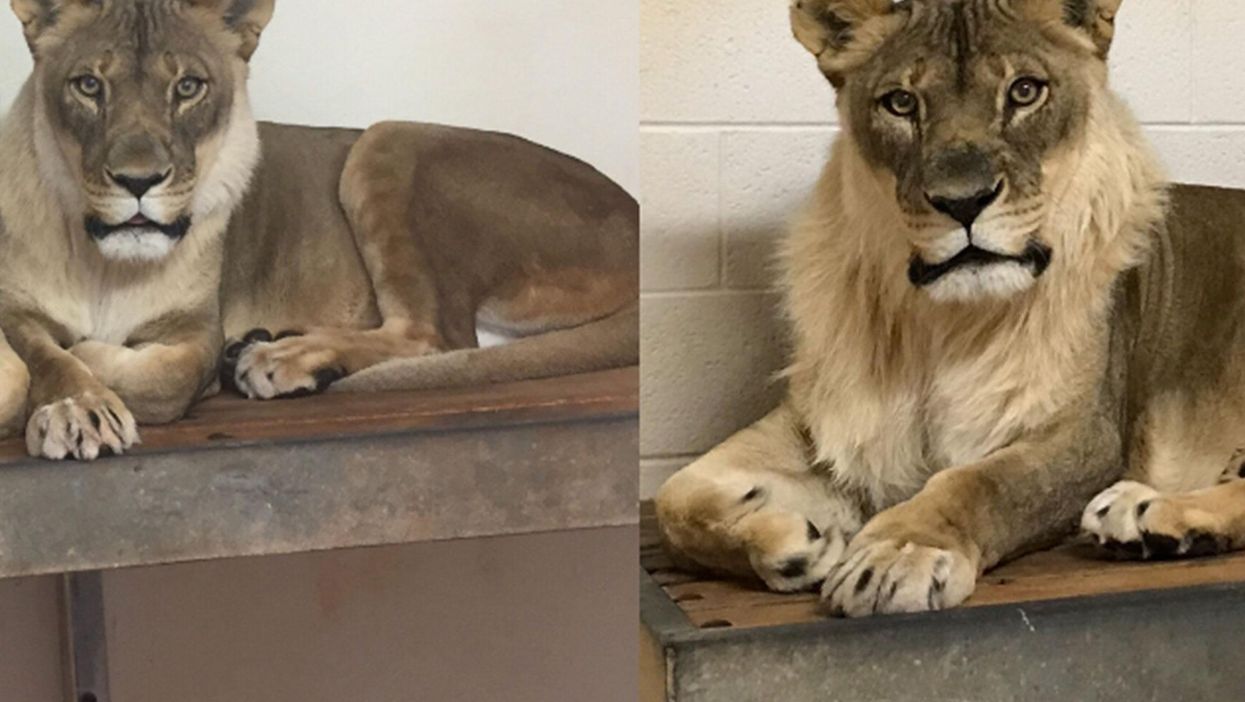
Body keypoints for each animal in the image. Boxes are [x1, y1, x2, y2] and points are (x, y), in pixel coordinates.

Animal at [0, 0, 637, 458]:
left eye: (187, 88)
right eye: (88, 85)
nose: (139, 181)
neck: (103, 262)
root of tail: (630, 205)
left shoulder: (197, 328)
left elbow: (162, 376)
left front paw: (88, 365)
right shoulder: (13, 306)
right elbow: (40, 354)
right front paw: (76, 404)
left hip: (387, 139)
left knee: (436, 335)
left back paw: (280, 359)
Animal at [657, 0, 1245, 618]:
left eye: (1025, 91)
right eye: (900, 102)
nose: (963, 203)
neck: (937, 325)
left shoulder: (1086, 437)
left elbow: (977, 485)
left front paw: (899, 554)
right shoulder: (828, 426)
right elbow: (676, 497)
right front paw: (793, 542)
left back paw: (1146, 514)